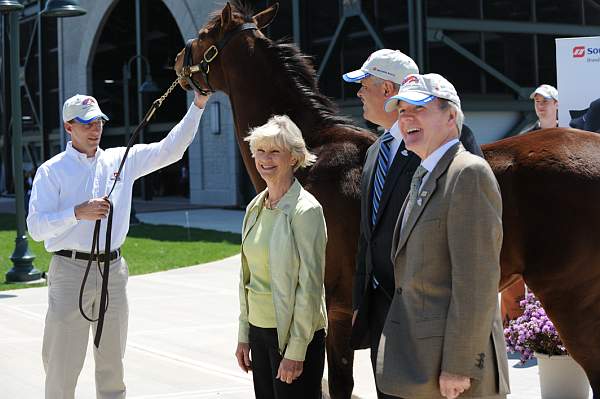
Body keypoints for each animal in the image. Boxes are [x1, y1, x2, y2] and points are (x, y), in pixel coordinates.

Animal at [173, 1, 600, 398]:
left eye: (207, 33)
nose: (179, 59)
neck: (312, 152)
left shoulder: (330, 310)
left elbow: (336, 381)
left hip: (572, 300)